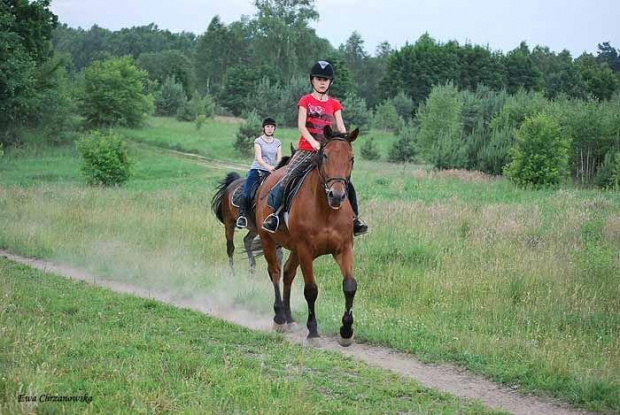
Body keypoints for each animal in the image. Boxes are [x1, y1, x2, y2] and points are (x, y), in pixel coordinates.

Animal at [254, 127, 358, 348]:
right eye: (325, 156)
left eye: (351, 158)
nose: (337, 195)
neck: (326, 210)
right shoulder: (305, 250)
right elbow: (311, 290)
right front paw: (313, 332)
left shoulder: (344, 248)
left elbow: (350, 286)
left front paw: (346, 332)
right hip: (269, 241)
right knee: (275, 272)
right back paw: (279, 318)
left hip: (294, 249)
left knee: (288, 273)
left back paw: (289, 318)